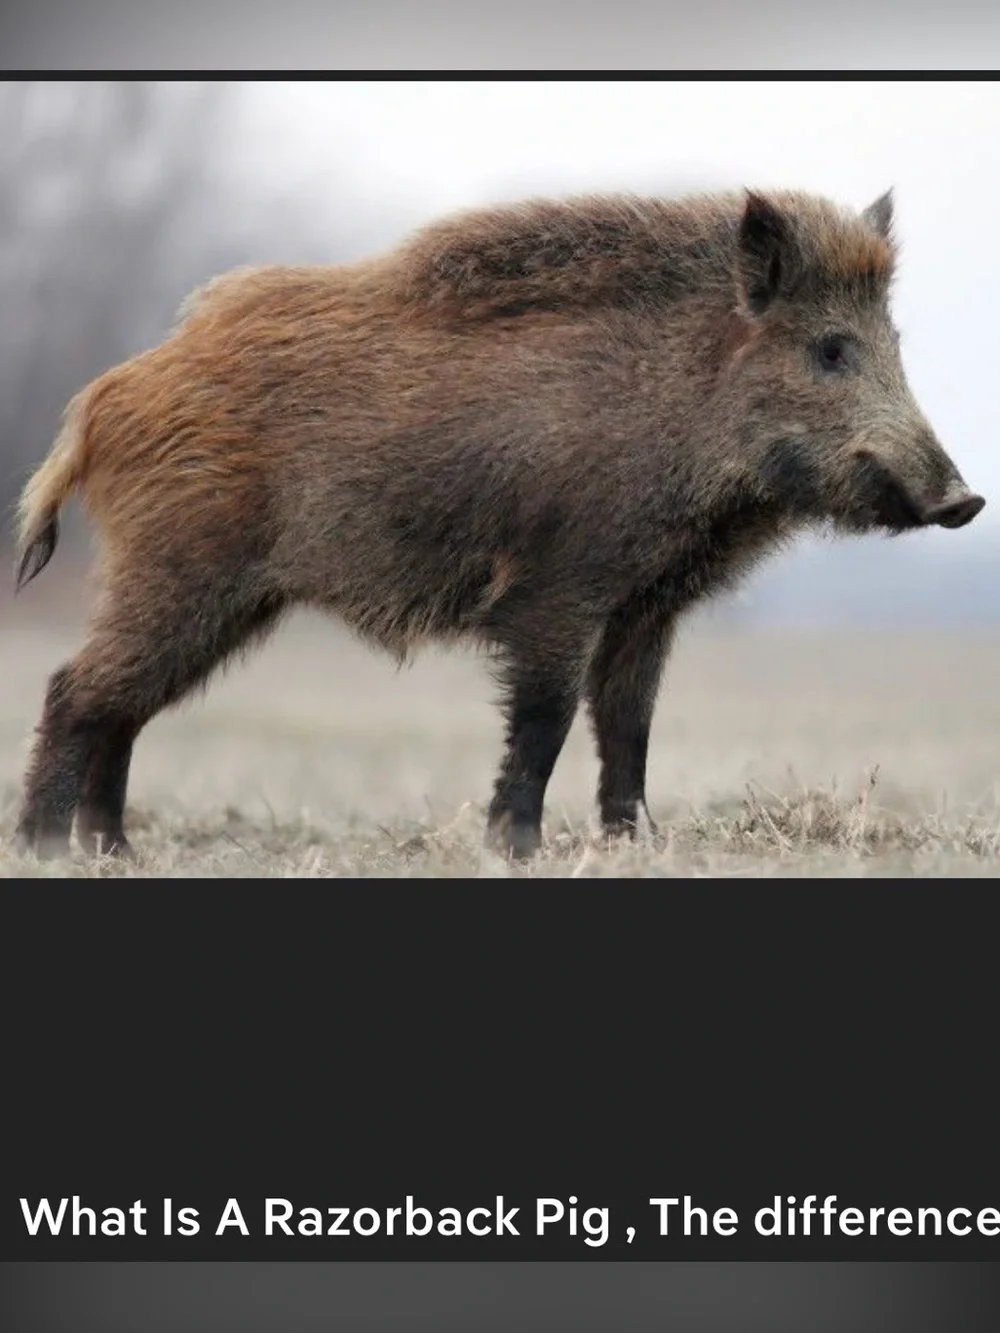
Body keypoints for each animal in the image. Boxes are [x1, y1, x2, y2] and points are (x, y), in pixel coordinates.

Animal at [12, 186, 985, 861]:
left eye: (895, 345)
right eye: (830, 349)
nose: (964, 502)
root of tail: (102, 397)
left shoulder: (647, 606)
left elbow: (628, 725)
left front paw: (638, 844)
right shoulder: (560, 588)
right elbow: (549, 716)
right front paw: (516, 850)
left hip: (216, 598)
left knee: (121, 706)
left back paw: (114, 852)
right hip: (181, 572)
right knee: (75, 689)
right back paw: (46, 850)